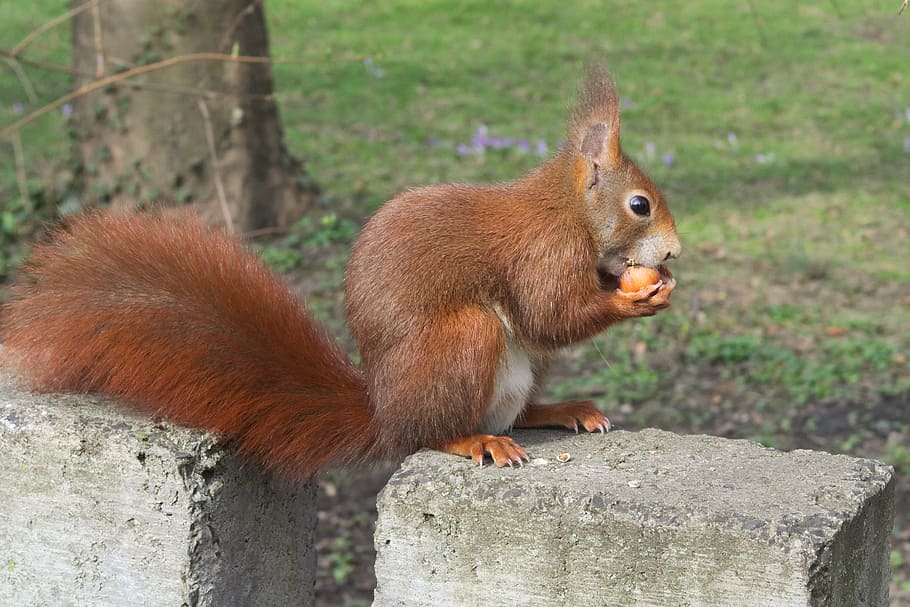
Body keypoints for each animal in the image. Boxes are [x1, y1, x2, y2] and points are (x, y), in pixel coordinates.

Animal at [0, 66, 680, 478]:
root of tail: (383, 411)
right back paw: (471, 441)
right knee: (430, 434)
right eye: (639, 206)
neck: (569, 210)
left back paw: (559, 410)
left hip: (522, 370)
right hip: (464, 342)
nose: (673, 253)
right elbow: (549, 312)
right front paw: (634, 300)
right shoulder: (543, 251)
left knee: (512, 410)